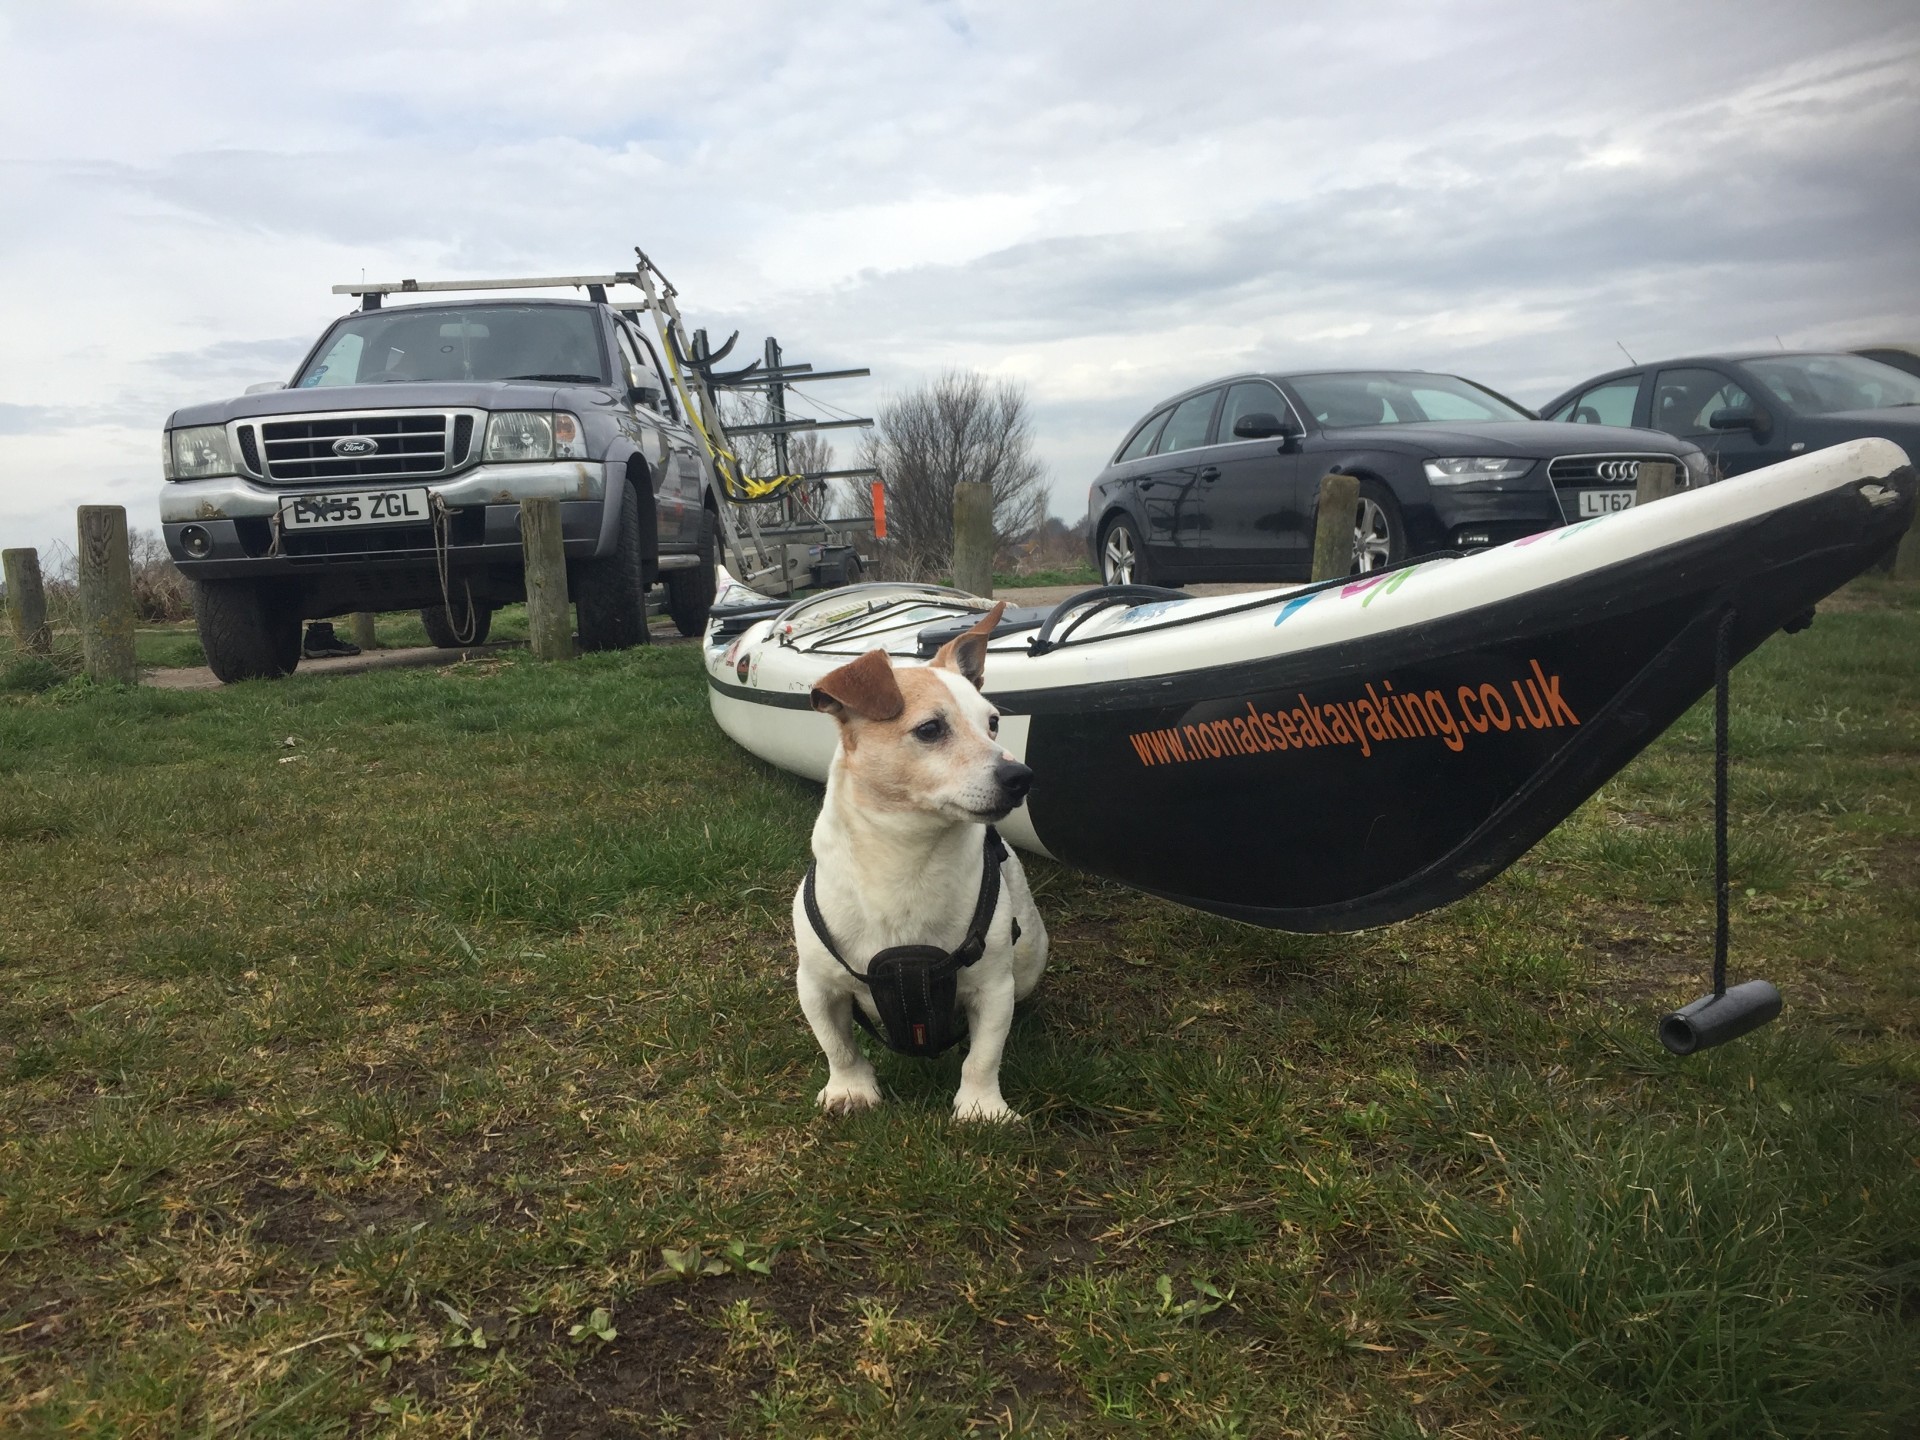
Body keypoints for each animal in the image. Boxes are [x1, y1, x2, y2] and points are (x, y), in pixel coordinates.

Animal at [798, 602, 1059, 1121]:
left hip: (1029, 960)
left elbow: (984, 1054)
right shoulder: (815, 986)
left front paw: (981, 1108)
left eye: (993, 723)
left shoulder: (993, 988)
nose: (1022, 775)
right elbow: (838, 1045)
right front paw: (849, 1089)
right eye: (931, 729)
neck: (907, 858)